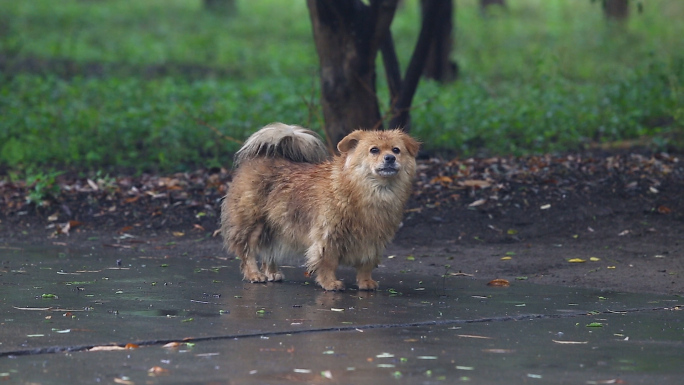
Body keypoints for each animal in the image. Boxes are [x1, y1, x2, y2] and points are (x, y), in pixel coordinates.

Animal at [222, 121, 420, 290]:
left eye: (396, 150)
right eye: (374, 150)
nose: (390, 158)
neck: (374, 192)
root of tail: (263, 157)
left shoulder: (373, 240)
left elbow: (366, 264)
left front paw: (365, 282)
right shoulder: (328, 235)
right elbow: (328, 262)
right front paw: (330, 283)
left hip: (277, 226)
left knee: (269, 251)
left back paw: (272, 272)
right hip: (253, 225)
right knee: (247, 252)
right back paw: (254, 274)